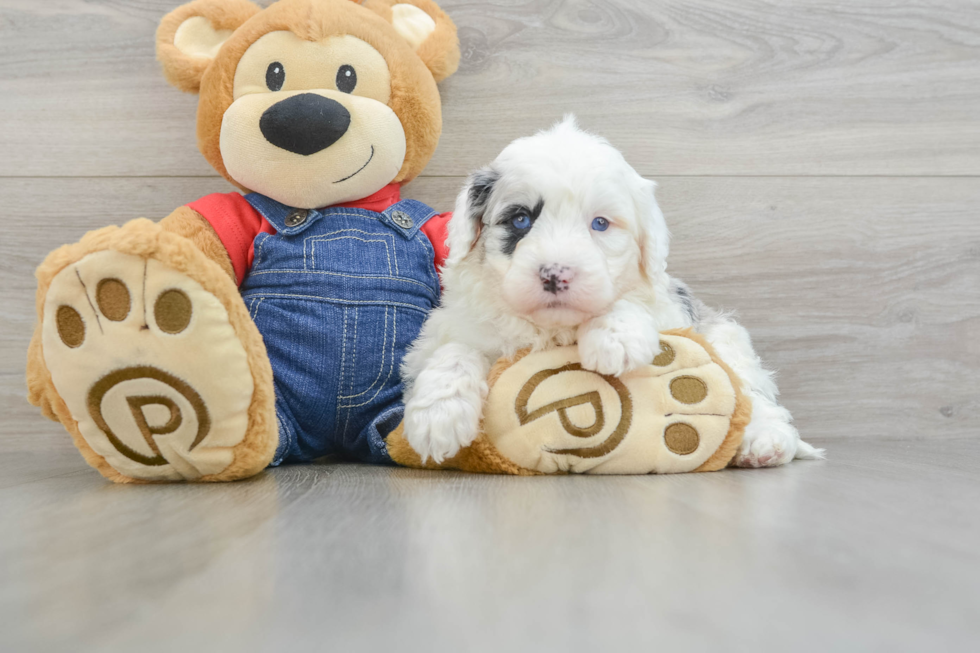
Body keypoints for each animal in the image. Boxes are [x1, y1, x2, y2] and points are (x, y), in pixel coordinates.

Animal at [402, 114, 824, 466]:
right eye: (520, 219)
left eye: (600, 223)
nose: (555, 275)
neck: (555, 330)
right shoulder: (446, 330)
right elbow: (454, 351)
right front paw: (438, 418)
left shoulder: (667, 308)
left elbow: (630, 302)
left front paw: (615, 337)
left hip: (726, 336)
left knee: (749, 388)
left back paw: (764, 441)